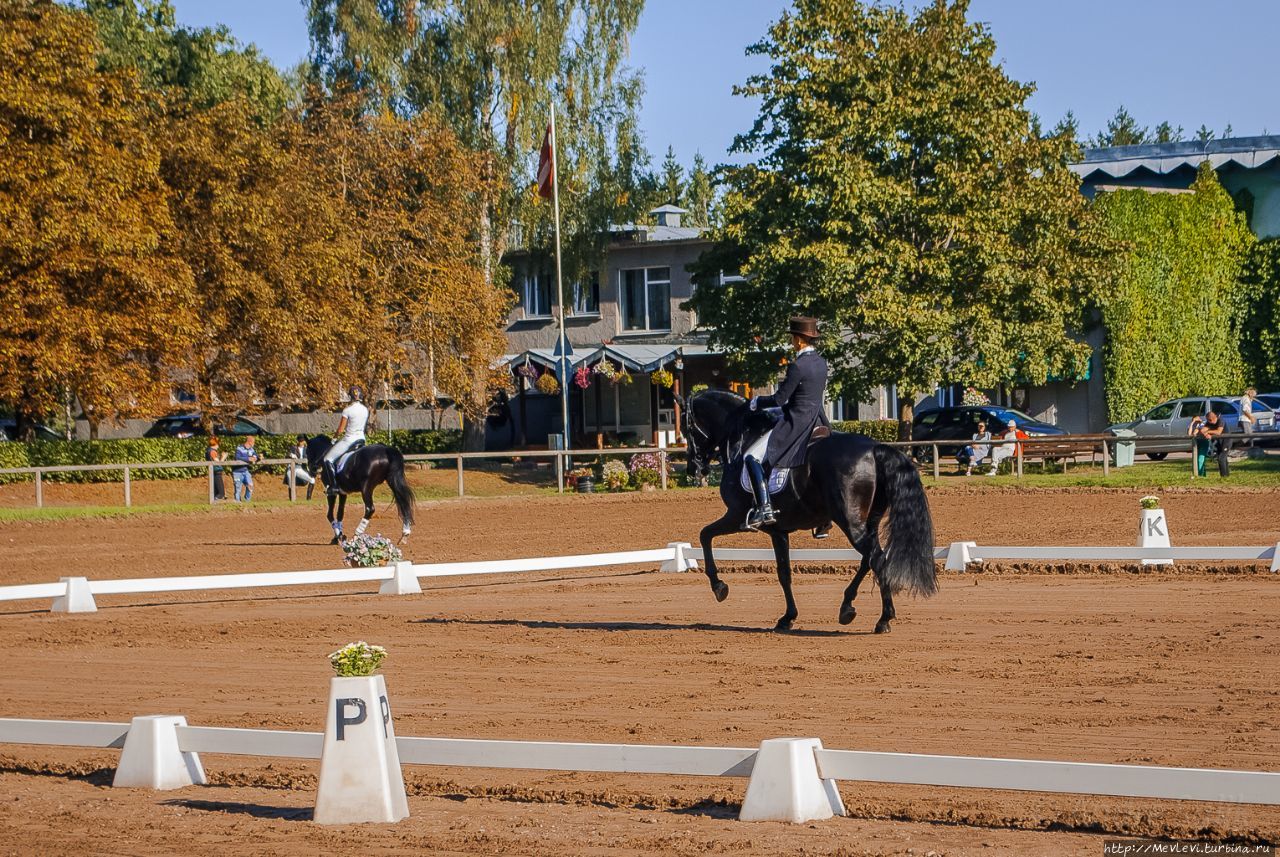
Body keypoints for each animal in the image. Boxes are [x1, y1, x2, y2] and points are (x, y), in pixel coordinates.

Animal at [686, 393, 936, 634]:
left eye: (688, 429)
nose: (693, 468)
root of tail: (875, 449)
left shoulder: (736, 516)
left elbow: (704, 535)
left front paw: (719, 587)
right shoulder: (778, 531)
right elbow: (784, 573)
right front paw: (787, 618)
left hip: (851, 522)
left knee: (877, 559)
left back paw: (883, 619)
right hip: (868, 521)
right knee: (869, 560)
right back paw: (847, 608)